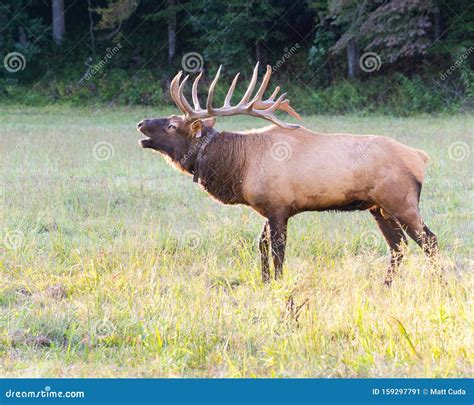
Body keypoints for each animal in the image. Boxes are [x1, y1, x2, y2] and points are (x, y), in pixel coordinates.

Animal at [136, 62, 436, 284]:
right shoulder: (267, 208)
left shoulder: (280, 206)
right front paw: (265, 282)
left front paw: (278, 284)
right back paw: (385, 286)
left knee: (428, 241)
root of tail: (421, 157)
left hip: (401, 201)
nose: (141, 123)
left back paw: (441, 285)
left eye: (172, 125)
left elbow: (278, 252)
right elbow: (261, 245)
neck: (239, 167)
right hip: (378, 207)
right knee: (398, 246)